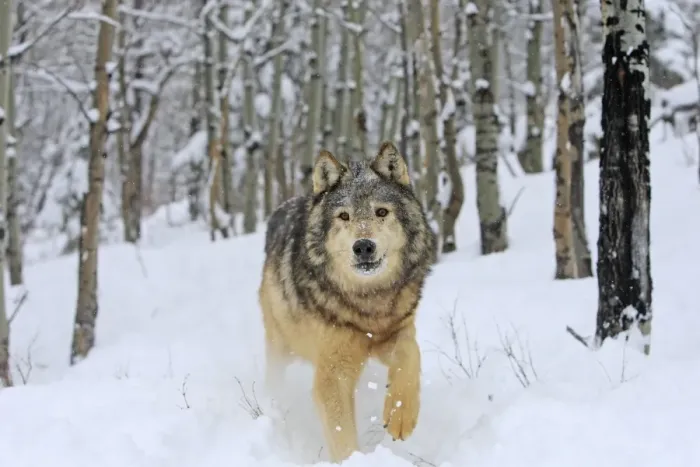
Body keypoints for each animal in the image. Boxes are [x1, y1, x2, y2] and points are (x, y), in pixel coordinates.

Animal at [258, 141, 437, 463]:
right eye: (344, 216)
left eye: (381, 212)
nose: (363, 246)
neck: (369, 305)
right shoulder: (333, 374)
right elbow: (342, 436)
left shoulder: (396, 333)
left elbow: (410, 357)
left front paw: (401, 416)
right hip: (280, 346)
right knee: (273, 380)